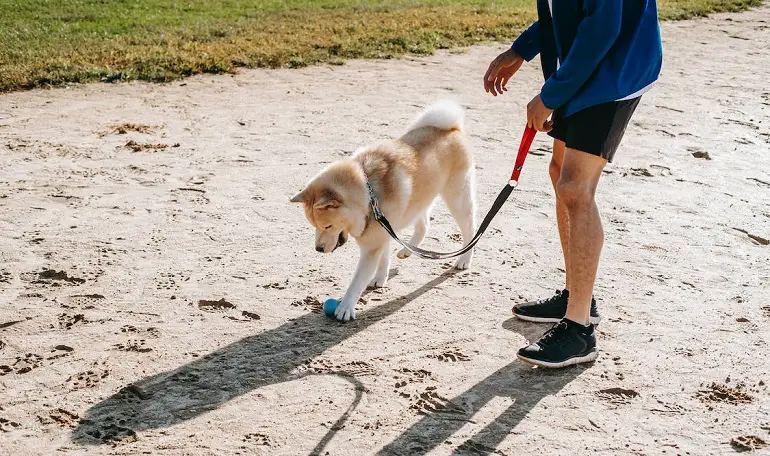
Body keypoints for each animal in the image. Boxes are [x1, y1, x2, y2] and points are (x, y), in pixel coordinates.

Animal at [290, 100, 474, 320]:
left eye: (327, 226)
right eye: (314, 226)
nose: (318, 249)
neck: (369, 194)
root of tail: (452, 128)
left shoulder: (373, 245)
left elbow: (357, 281)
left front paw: (346, 307)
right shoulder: (384, 229)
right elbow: (384, 257)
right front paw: (380, 278)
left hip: (457, 199)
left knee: (470, 230)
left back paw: (464, 259)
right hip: (419, 201)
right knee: (423, 225)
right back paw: (407, 250)